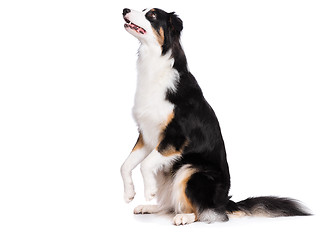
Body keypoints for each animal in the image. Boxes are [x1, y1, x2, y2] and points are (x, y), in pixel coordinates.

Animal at [120, 7, 310, 225]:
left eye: (151, 15)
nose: (125, 9)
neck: (154, 63)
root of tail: (225, 201)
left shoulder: (176, 137)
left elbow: (145, 165)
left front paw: (149, 190)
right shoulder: (147, 135)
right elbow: (125, 165)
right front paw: (129, 194)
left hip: (191, 170)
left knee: (207, 211)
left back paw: (184, 216)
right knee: (171, 204)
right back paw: (150, 207)